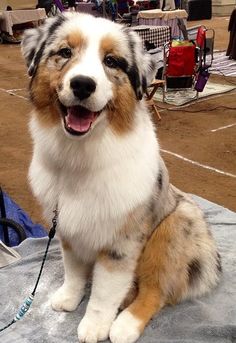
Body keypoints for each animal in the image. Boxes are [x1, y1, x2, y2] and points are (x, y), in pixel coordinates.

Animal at [20, 12, 221, 343]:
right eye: (65, 52)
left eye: (111, 61)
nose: (82, 85)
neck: (79, 155)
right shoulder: (68, 228)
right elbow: (73, 273)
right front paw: (68, 298)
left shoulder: (121, 243)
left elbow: (103, 293)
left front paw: (94, 326)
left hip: (173, 229)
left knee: (155, 291)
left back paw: (125, 325)